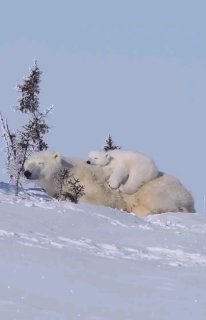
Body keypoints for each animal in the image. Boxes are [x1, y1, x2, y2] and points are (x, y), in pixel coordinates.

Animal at [23, 150, 196, 218]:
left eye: (40, 162)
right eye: (27, 162)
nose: (27, 173)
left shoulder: (90, 181)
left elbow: (98, 198)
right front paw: (65, 197)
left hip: (155, 189)